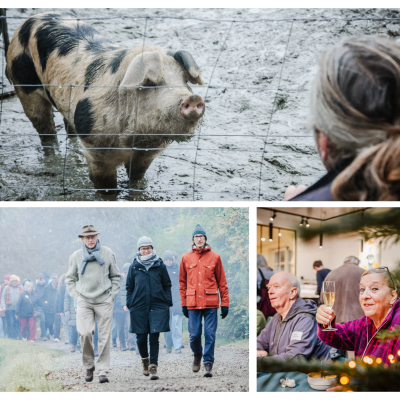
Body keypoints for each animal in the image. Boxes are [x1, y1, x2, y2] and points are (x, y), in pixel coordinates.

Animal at [5, 10, 205, 190]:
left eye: (185, 81)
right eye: (149, 83)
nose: (193, 97)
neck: (134, 140)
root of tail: (32, 18)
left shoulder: (146, 154)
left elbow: (136, 179)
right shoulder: (96, 150)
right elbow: (106, 187)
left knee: (69, 128)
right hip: (24, 86)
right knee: (46, 133)